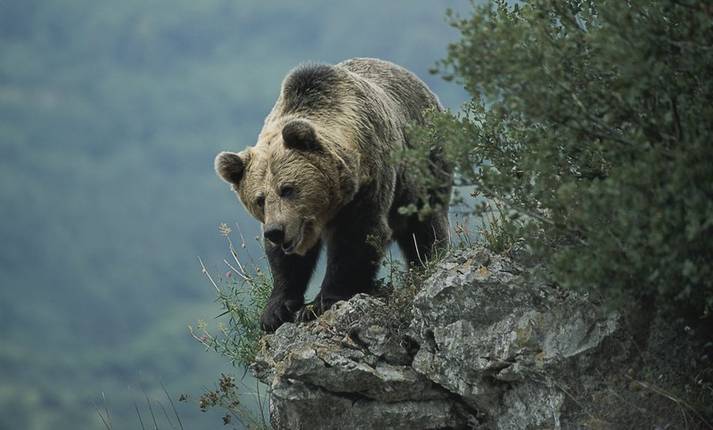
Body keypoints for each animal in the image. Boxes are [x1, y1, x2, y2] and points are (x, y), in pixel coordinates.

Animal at [215, 58, 452, 332]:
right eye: (260, 199)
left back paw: (428, 261)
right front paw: (275, 311)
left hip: (424, 165)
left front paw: (320, 303)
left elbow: (357, 239)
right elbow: (287, 263)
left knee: (425, 226)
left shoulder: (368, 184)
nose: (275, 231)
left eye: (288, 188)